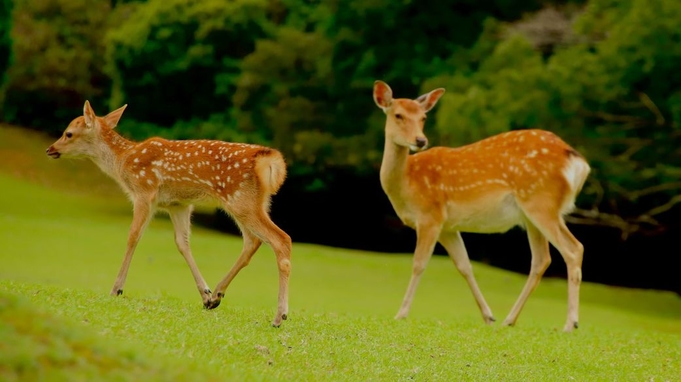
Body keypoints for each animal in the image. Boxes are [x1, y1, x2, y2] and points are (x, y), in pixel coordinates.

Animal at [46, 102, 290, 328]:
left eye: (68, 133)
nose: (50, 149)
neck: (122, 161)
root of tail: (270, 160)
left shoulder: (144, 192)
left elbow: (133, 236)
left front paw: (117, 289)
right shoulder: (178, 204)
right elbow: (182, 243)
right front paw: (205, 295)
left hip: (240, 200)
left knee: (281, 239)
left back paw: (279, 316)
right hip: (254, 202)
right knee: (253, 241)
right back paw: (218, 294)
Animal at [372, 80, 588, 332]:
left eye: (423, 117)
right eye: (398, 115)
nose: (420, 140)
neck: (407, 183)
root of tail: (577, 161)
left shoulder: (430, 216)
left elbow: (419, 263)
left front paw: (401, 313)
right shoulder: (448, 226)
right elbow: (464, 265)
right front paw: (488, 316)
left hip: (541, 202)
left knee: (573, 249)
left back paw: (570, 323)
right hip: (532, 213)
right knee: (541, 259)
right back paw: (509, 320)